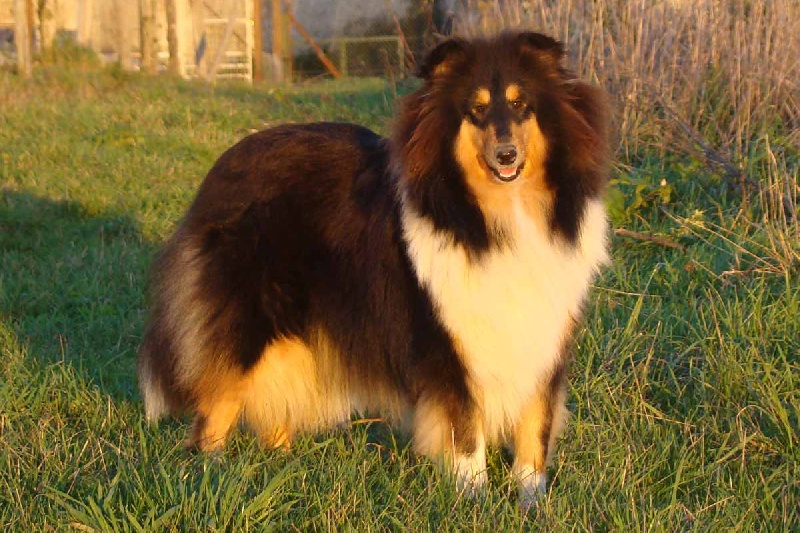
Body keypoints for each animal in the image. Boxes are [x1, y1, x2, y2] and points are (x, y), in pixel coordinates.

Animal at [137, 31, 611, 506]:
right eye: (475, 111)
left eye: (520, 104)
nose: (506, 154)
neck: (495, 218)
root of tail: (219, 171)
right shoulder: (446, 339)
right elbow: (464, 427)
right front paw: (472, 496)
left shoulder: (543, 336)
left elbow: (536, 423)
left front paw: (532, 499)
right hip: (250, 316)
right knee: (216, 404)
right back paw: (211, 475)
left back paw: (286, 471)